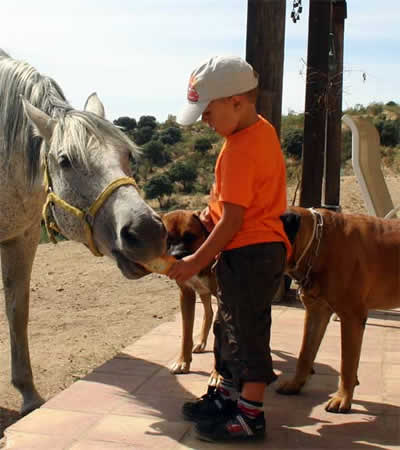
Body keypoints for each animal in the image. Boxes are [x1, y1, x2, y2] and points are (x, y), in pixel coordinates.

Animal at [0, 50, 166, 414]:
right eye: (65, 161)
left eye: (127, 154)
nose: (147, 232)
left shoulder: (22, 237)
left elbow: (18, 309)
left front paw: (29, 395)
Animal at [162, 209, 217, 374]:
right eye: (167, 240)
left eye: (190, 236)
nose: (177, 256)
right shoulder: (186, 293)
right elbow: (186, 334)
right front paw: (182, 362)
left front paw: (218, 374)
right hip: (203, 291)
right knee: (209, 313)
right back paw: (201, 342)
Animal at [276, 206, 400, 414]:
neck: (318, 243)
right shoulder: (316, 312)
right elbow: (305, 353)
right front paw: (296, 384)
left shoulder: (351, 317)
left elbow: (347, 363)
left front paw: (343, 398)